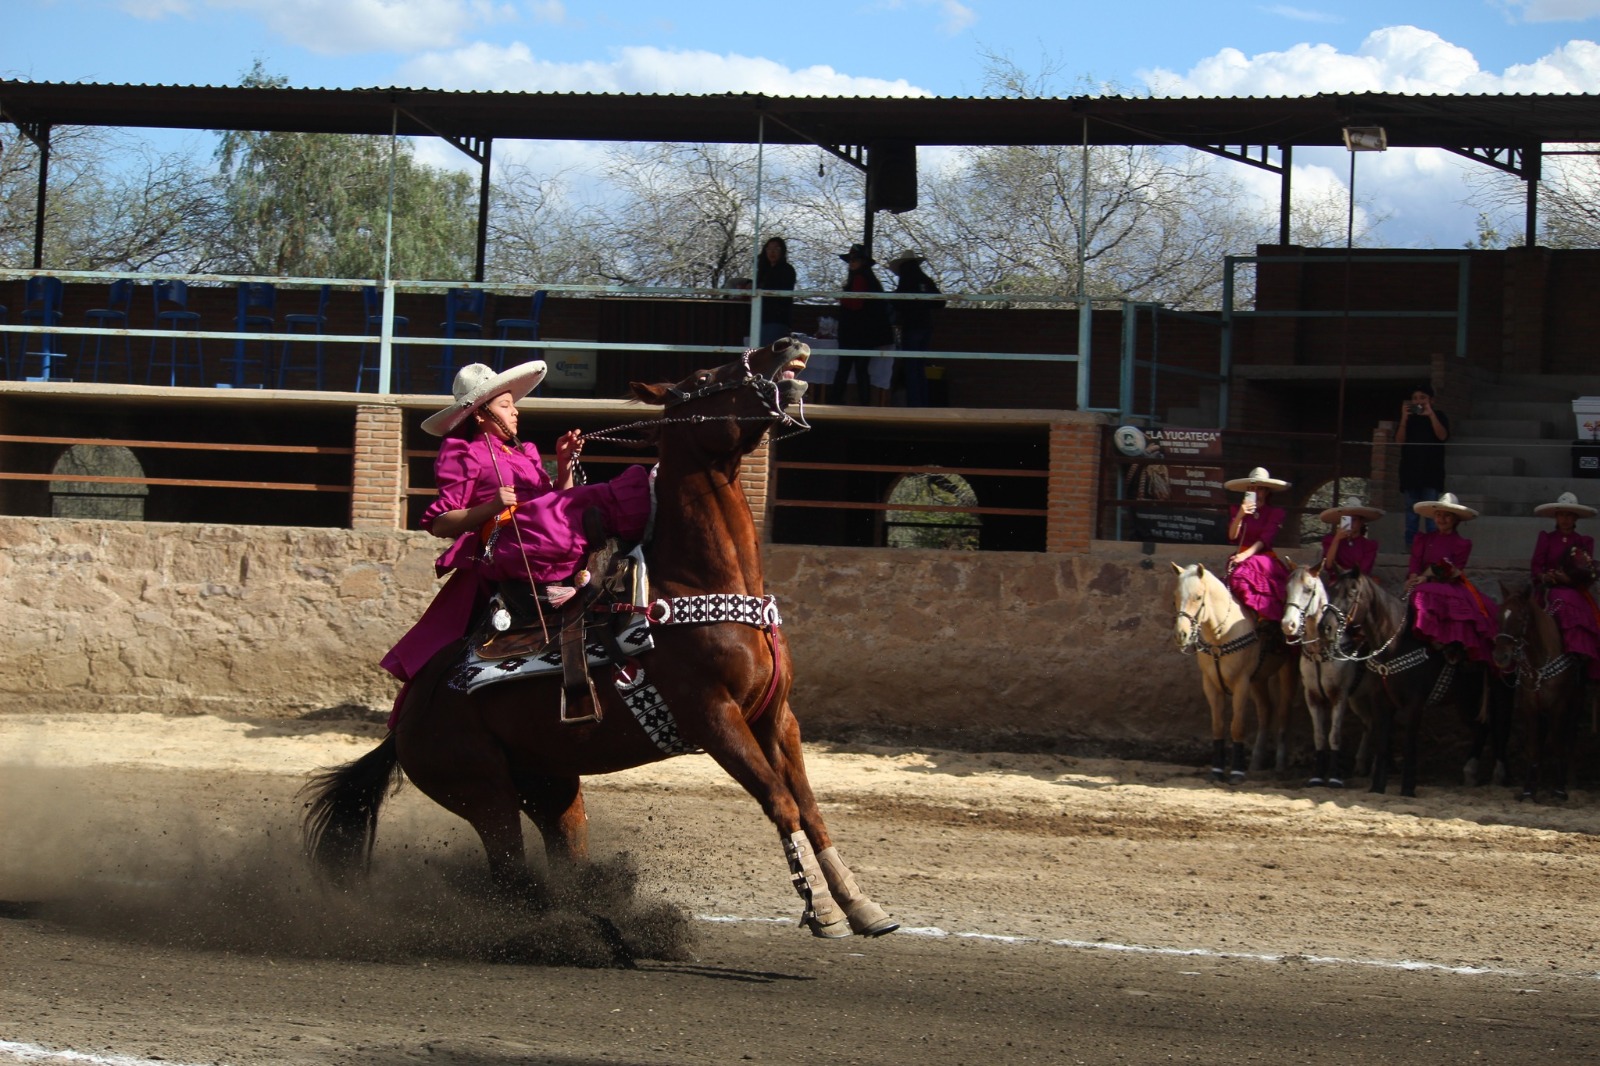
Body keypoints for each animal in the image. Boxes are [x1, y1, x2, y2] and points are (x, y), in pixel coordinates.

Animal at [300, 337, 902, 941]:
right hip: (483, 792)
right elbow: (781, 802)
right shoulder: (714, 718)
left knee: (564, 859)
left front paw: (862, 905)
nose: (785, 346)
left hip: (552, 787)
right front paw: (822, 911)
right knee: (511, 879)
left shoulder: (776, 716)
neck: (699, 586)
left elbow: (810, 807)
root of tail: (402, 725)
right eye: (704, 377)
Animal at [1177, 563, 1299, 781]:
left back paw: (1280, 763)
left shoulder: (1241, 683)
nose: (1181, 634)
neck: (1220, 636)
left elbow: (1237, 726)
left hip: (1287, 669)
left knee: (1284, 711)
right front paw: (1217, 770)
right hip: (1258, 679)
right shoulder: (1210, 684)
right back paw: (1257, 761)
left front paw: (1236, 771)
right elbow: (1218, 725)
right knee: (1265, 709)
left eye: (1198, 597)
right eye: (1175, 595)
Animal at [1273, 563, 1376, 781]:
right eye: (1287, 588)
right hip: (1358, 699)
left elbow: (1334, 736)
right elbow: (1319, 736)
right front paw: (1318, 775)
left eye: (1308, 590)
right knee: (1369, 724)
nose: (1288, 625)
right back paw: (1360, 765)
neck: (1320, 652)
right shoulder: (1313, 696)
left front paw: (1335, 776)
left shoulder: (1339, 696)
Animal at [1491, 582, 1580, 797]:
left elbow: (1557, 744)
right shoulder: (1530, 705)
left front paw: (1559, 788)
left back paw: (1571, 779)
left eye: (1520, 618)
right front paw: (1528, 789)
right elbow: (1533, 746)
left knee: (1570, 736)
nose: (1500, 657)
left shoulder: (1559, 706)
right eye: (1499, 616)